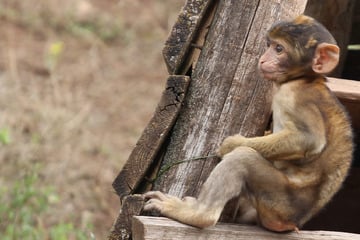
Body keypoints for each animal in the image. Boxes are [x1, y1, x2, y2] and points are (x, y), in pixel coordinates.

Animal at [143, 15, 352, 232]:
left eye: (279, 49)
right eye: (270, 45)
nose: (263, 59)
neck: (305, 79)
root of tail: (291, 222)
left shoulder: (294, 96)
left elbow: (308, 140)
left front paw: (231, 144)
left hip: (279, 202)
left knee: (241, 159)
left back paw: (198, 215)